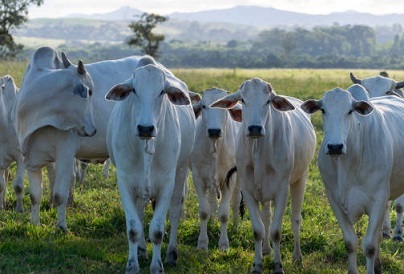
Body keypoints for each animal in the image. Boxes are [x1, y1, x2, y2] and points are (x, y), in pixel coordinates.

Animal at [105, 56, 196, 274]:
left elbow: (157, 230)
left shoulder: (167, 183)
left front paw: (157, 266)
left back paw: (171, 253)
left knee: (175, 211)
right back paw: (141, 250)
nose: (145, 128)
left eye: (162, 91)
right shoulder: (125, 181)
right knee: (140, 212)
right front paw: (132, 264)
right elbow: (133, 228)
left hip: (181, 172)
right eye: (134, 90)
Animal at [210, 77, 318, 274]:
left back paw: (297, 257)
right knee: (266, 217)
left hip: (301, 178)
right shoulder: (249, 190)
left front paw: (278, 266)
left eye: (268, 101)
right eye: (243, 100)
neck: (259, 152)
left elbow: (276, 231)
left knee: (296, 218)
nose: (254, 128)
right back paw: (267, 250)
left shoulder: (282, 191)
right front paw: (257, 264)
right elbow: (258, 229)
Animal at [302, 86, 404, 274]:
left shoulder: (378, 200)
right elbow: (350, 242)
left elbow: (370, 245)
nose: (335, 147)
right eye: (323, 110)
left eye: (350, 111)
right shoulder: (334, 200)